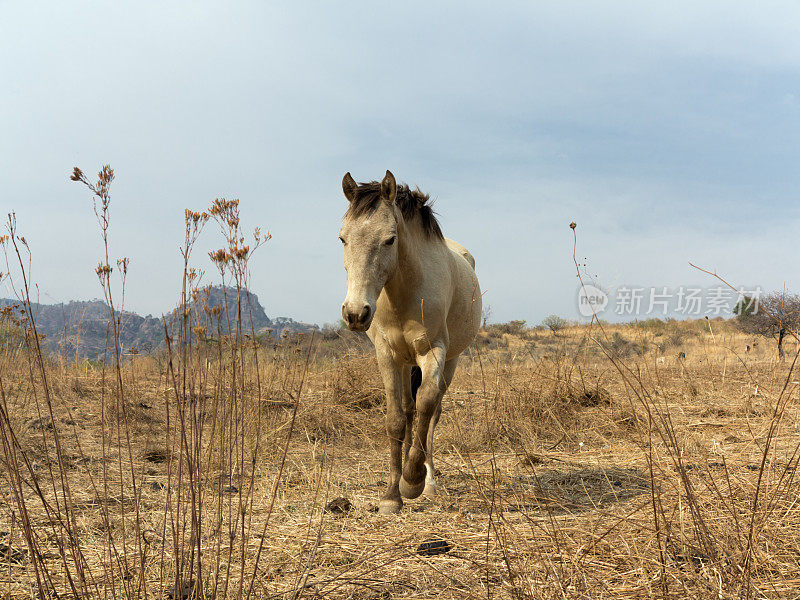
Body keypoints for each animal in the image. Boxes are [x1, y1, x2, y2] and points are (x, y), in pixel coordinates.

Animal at [338, 170, 482, 516]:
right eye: (343, 238)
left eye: (390, 239)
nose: (355, 313)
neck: (404, 291)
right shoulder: (387, 356)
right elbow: (396, 420)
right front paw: (392, 494)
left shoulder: (433, 352)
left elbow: (427, 405)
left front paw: (412, 481)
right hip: (406, 364)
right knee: (408, 412)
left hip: (451, 361)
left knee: (432, 414)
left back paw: (427, 482)